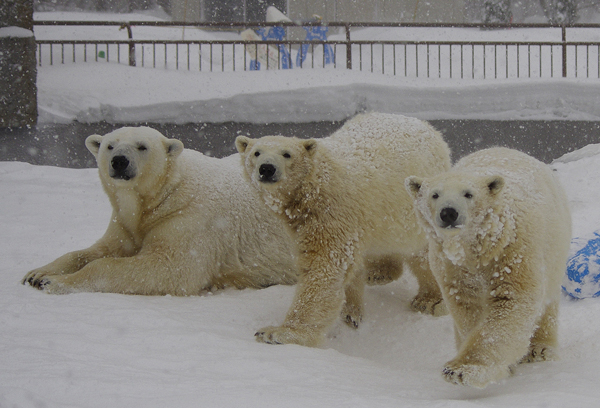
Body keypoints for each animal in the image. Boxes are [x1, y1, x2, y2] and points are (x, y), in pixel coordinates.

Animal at [22, 126, 298, 294]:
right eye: (109, 146)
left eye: (142, 146)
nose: (119, 161)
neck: (165, 191)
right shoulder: (124, 221)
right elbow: (101, 248)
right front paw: (37, 273)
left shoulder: (189, 218)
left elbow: (169, 268)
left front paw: (55, 282)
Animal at [234, 112, 450, 348]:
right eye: (256, 152)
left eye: (287, 154)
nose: (266, 168)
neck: (316, 184)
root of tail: (428, 127)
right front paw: (351, 313)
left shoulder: (332, 212)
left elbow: (324, 267)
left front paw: (278, 333)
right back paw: (379, 272)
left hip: (417, 206)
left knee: (423, 252)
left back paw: (430, 300)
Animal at [406, 147, 568, 388]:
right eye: (434, 194)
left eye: (468, 194)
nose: (449, 213)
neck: (479, 248)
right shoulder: (452, 266)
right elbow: (467, 308)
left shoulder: (512, 252)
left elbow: (511, 303)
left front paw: (460, 370)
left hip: (555, 247)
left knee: (548, 300)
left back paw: (540, 348)